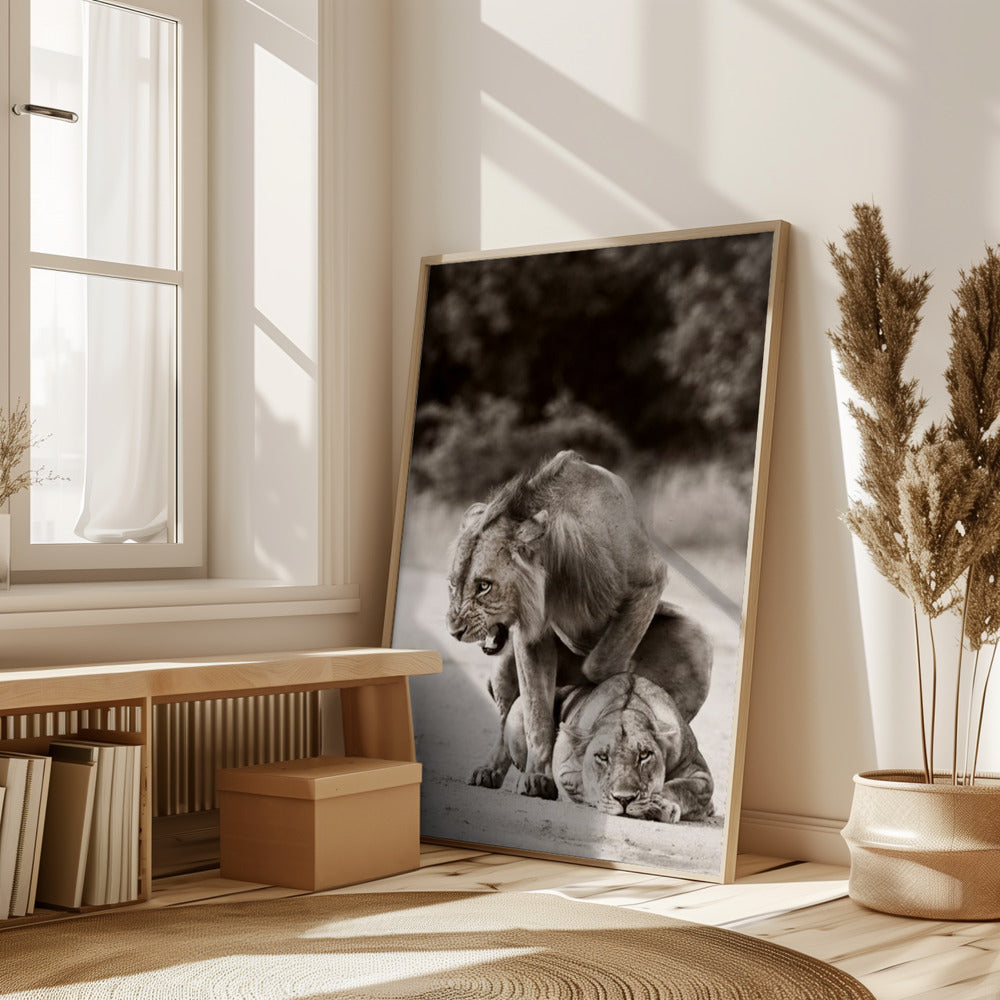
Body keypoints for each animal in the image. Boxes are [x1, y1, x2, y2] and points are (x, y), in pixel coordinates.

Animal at [445, 450, 712, 799]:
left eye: (484, 586)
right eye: (453, 584)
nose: (454, 631)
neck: (555, 568)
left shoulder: (648, 581)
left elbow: (600, 666)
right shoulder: (531, 635)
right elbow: (536, 711)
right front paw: (538, 777)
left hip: (694, 637)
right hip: (502, 667)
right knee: (506, 720)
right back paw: (490, 770)